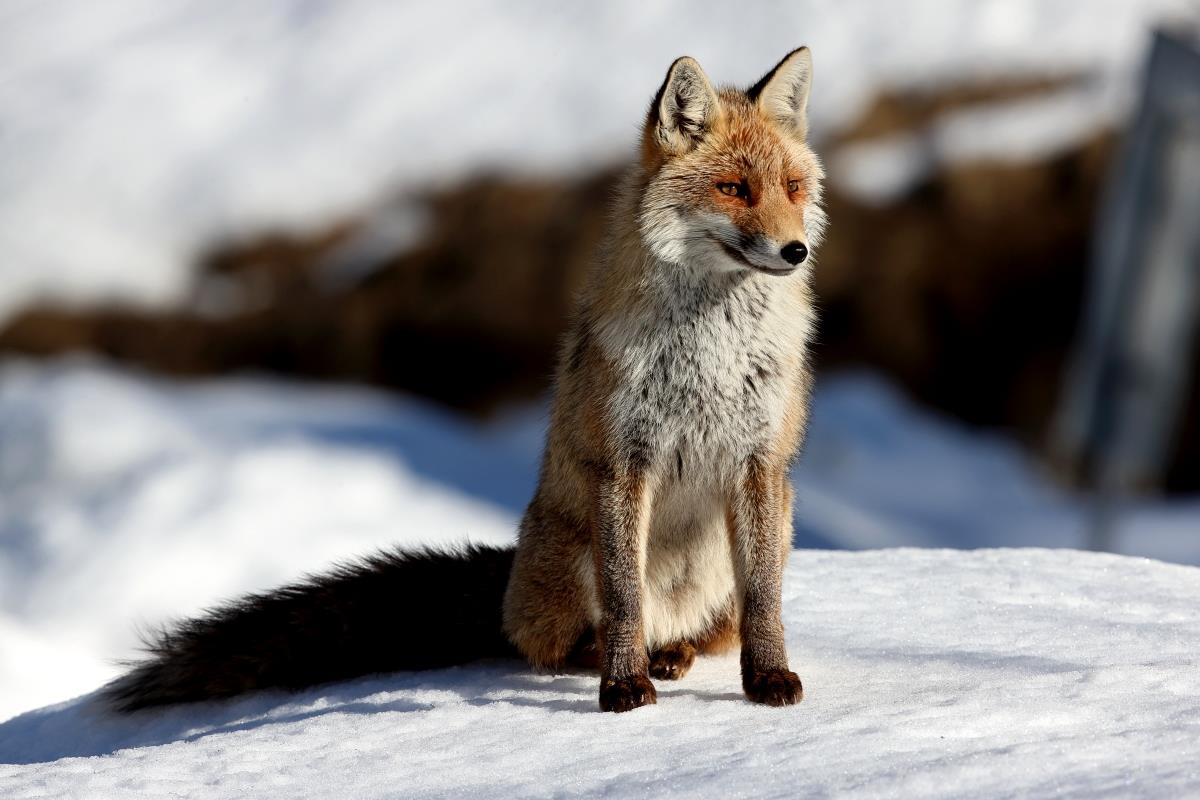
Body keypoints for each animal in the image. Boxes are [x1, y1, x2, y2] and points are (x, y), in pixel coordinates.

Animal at [104, 46, 826, 714]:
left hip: (767, 530)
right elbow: (623, 600)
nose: (795, 251)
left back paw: (676, 651)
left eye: (792, 187)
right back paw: (635, 657)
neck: (711, 358)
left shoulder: (761, 462)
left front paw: (768, 679)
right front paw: (622, 686)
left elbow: (764, 600)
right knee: (560, 642)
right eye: (733, 188)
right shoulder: (622, 462)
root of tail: (509, 572)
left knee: (707, 631)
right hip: (572, 565)